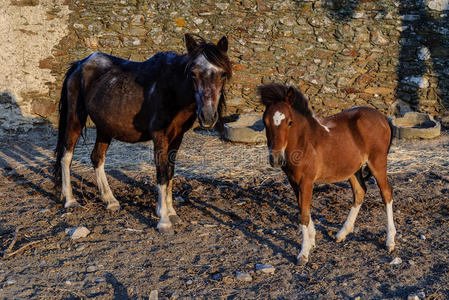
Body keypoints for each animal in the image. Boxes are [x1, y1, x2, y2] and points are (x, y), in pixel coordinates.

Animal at [53, 33, 231, 234]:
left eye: (222, 74)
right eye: (193, 73)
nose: (208, 116)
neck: (172, 89)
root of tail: (80, 64)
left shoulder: (177, 137)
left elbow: (170, 172)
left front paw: (171, 212)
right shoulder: (160, 136)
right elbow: (162, 173)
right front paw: (164, 221)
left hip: (105, 127)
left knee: (97, 157)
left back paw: (110, 201)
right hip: (75, 118)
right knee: (66, 156)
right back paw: (70, 200)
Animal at [258, 83, 394, 264]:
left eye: (289, 122)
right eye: (264, 122)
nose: (276, 159)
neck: (303, 141)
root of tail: (383, 118)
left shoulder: (307, 181)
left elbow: (304, 215)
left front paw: (303, 254)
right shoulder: (294, 181)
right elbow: (303, 209)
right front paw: (311, 242)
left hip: (377, 163)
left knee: (386, 194)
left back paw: (390, 241)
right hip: (352, 168)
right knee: (360, 192)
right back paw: (342, 233)